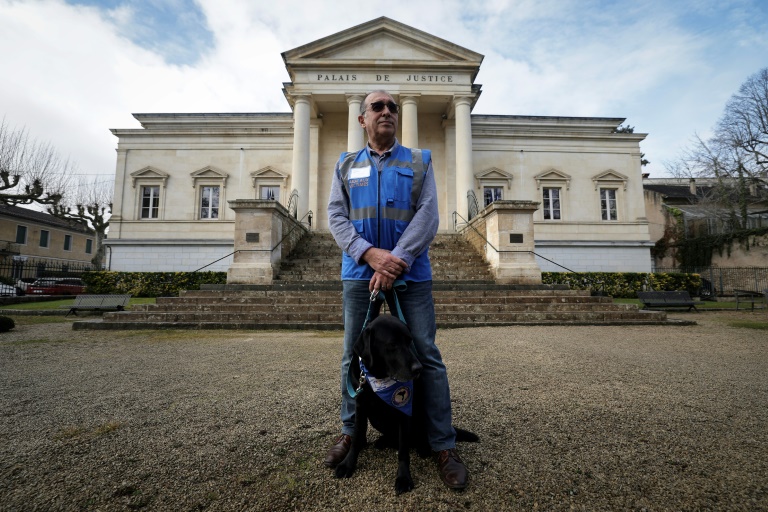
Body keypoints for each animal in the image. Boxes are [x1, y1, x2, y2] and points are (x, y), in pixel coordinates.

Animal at [334, 314, 476, 494]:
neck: (380, 378)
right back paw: (383, 441)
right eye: (392, 345)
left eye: (409, 341)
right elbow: (356, 439)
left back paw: (423, 448)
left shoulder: (403, 411)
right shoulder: (360, 407)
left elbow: (403, 449)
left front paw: (403, 478)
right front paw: (347, 465)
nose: (418, 368)